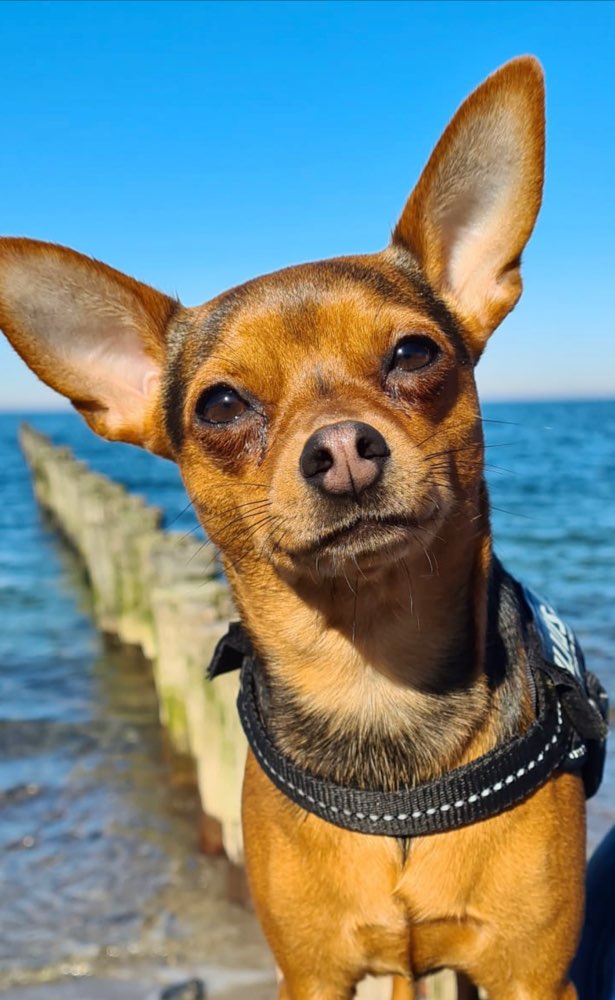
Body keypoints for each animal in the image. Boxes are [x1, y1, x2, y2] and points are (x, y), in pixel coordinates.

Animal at [0, 56, 600, 1000]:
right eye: (219, 405)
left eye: (415, 354)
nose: (342, 449)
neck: (376, 687)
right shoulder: (310, 971)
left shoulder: (532, 976)